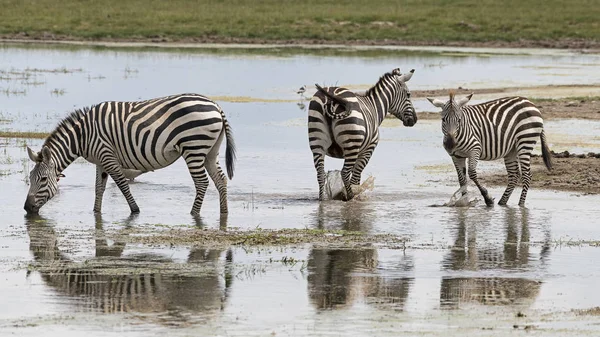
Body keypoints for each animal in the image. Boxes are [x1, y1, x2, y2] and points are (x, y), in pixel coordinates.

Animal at [25, 93, 237, 215]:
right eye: (29, 178)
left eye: (43, 179)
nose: (27, 208)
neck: (83, 136)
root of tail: (216, 106)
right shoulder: (100, 161)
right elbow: (99, 188)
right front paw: (95, 213)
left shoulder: (108, 156)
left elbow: (122, 185)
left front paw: (135, 211)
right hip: (210, 151)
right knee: (220, 179)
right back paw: (224, 212)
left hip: (194, 147)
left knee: (202, 183)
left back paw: (193, 214)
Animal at [310, 67, 418, 200]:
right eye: (408, 94)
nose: (415, 119)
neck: (374, 107)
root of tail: (331, 97)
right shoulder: (368, 149)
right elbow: (356, 177)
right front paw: (356, 194)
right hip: (351, 144)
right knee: (345, 173)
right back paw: (350, 196)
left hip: (317, 142)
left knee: (320, 174)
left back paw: (323, 198)